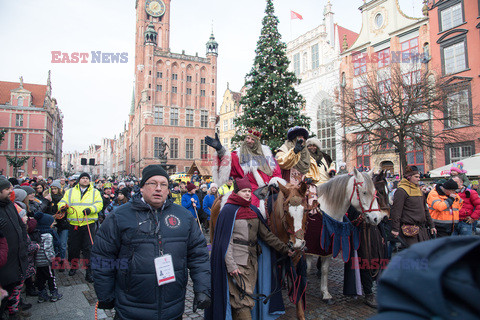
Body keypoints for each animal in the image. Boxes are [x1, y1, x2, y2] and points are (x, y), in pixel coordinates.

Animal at [316, 168, 390, 302]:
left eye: (375, 192)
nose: (379, 218)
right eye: (365, 192)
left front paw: (325, 293)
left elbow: (325, 269)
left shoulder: (328, 247)